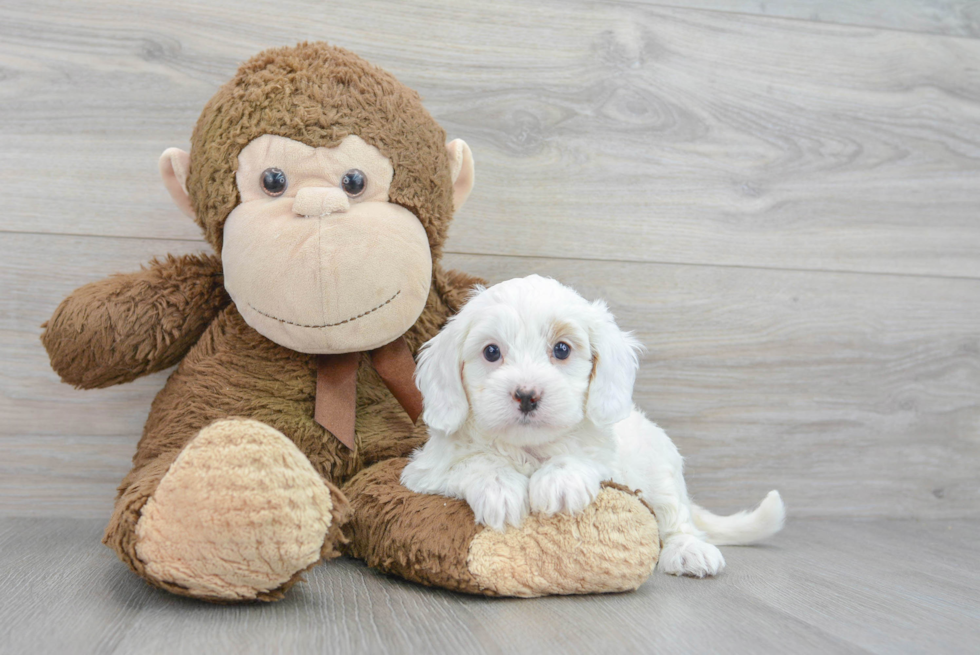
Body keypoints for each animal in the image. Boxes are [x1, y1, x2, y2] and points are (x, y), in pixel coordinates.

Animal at [402, 274, 784, 576]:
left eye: (561, 349)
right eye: (491, 352)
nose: (526, 395)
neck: (529, 447)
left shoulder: (610, 462)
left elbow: (582, 456)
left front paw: (559, 481)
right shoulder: (424, 473)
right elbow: (473, 462)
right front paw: (499, 487)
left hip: (661, 469)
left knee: (677, 518)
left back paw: (689, 550)